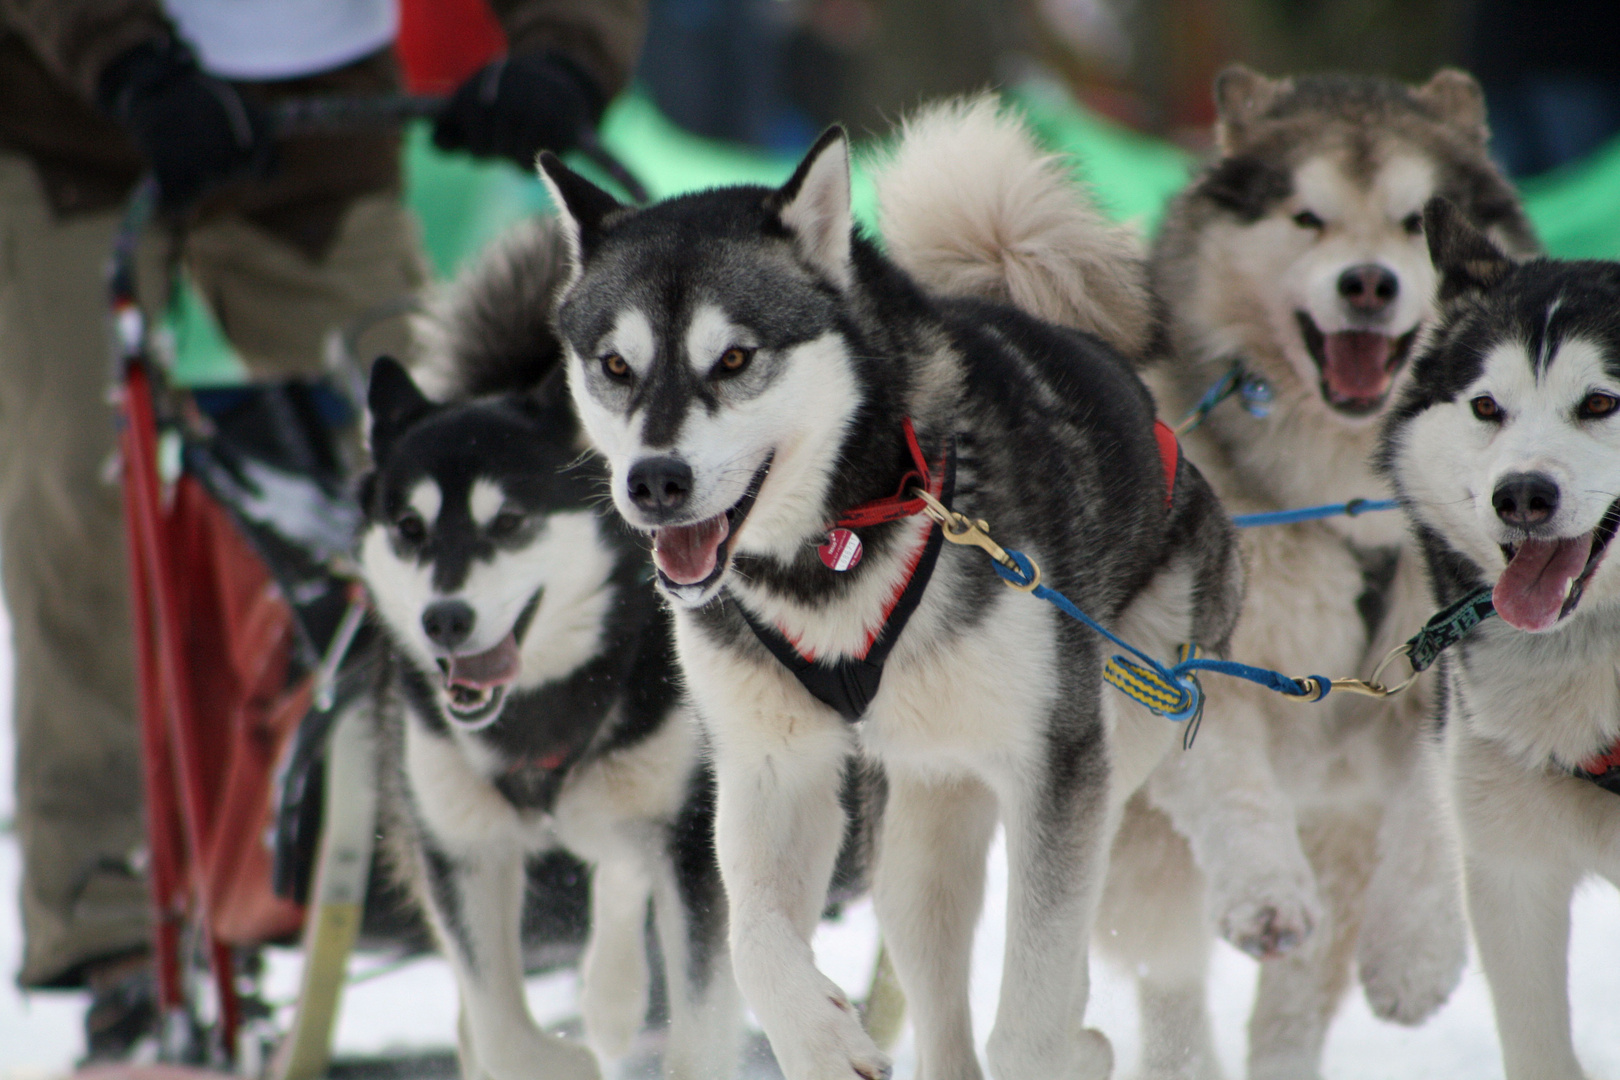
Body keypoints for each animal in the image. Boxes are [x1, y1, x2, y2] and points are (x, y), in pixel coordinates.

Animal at [361, 216, 741, 1080]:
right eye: (409, 528)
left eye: (508, 522)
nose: (444, 620)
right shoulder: (458, 851)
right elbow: (499, 1025)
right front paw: (550, 1057)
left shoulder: (691, 840)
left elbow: (702, 1017)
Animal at [541, 101, 1237, 1080]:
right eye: (614, 366)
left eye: (735, 359)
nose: (654, 482)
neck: (834, 545)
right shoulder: (769, 768)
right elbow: (754, 940)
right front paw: (820, 1038)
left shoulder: (1056, 763)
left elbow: (1031, 1007)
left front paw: (1055, 1040)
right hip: (915, 835)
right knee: (939, 1001)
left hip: (1125, 717)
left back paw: (1083, 1035)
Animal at [1134, 67, 1535, 1080]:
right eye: (1308, 219)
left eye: (1411, 223)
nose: (1368, 282)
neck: (1344, 500)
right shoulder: (1197, 672)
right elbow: (1232, 785)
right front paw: (1266, 894)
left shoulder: (1442, 669)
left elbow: (1433, 806)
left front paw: (1418, 951)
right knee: (1162, 973)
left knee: (1290, 1012)